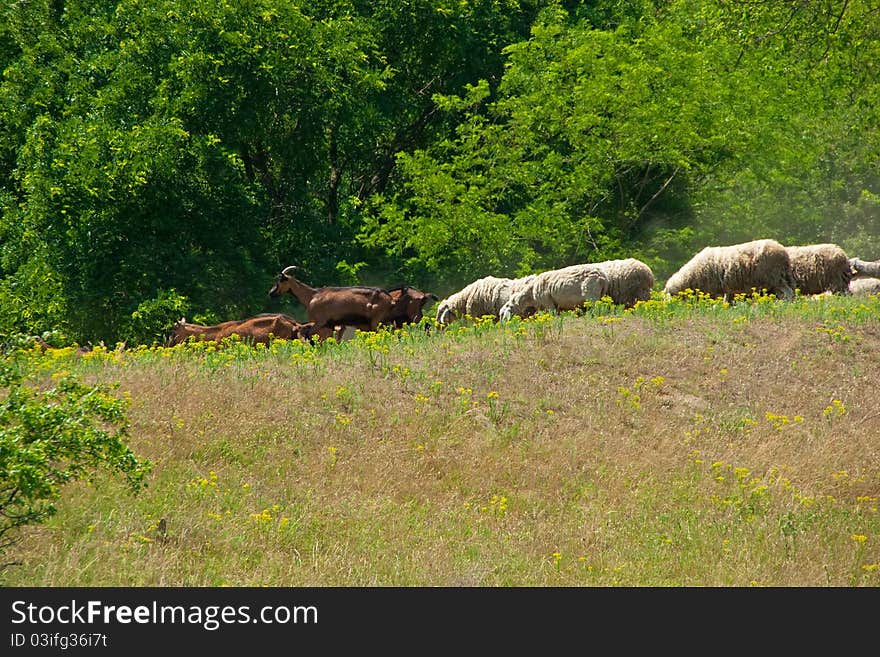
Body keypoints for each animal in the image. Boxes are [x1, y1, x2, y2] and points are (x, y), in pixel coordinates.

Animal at [660, 238, 796, 302]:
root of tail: (782, 251)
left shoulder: (713, 290)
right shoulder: (727, 288)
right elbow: (727, 301)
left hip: (775, 277)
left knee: (789, 293)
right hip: (777, 279)